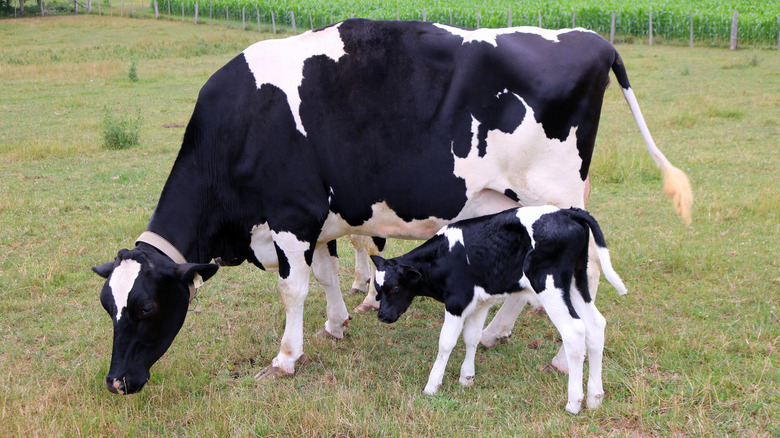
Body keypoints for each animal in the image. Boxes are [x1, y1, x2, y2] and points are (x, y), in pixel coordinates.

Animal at [370, 205, 628, 414]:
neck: (443, 256)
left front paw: (432, 386)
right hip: (576, 283)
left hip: (550, 286)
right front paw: (467, 378)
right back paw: (595, 397)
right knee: (596, 326)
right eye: (378, 289)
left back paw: (574, 403)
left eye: (395, 287)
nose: (382, 316)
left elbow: (446, 342)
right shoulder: (479, 303)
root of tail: (566, 212)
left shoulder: (456, 302)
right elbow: (472, 337)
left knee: (574, 332)